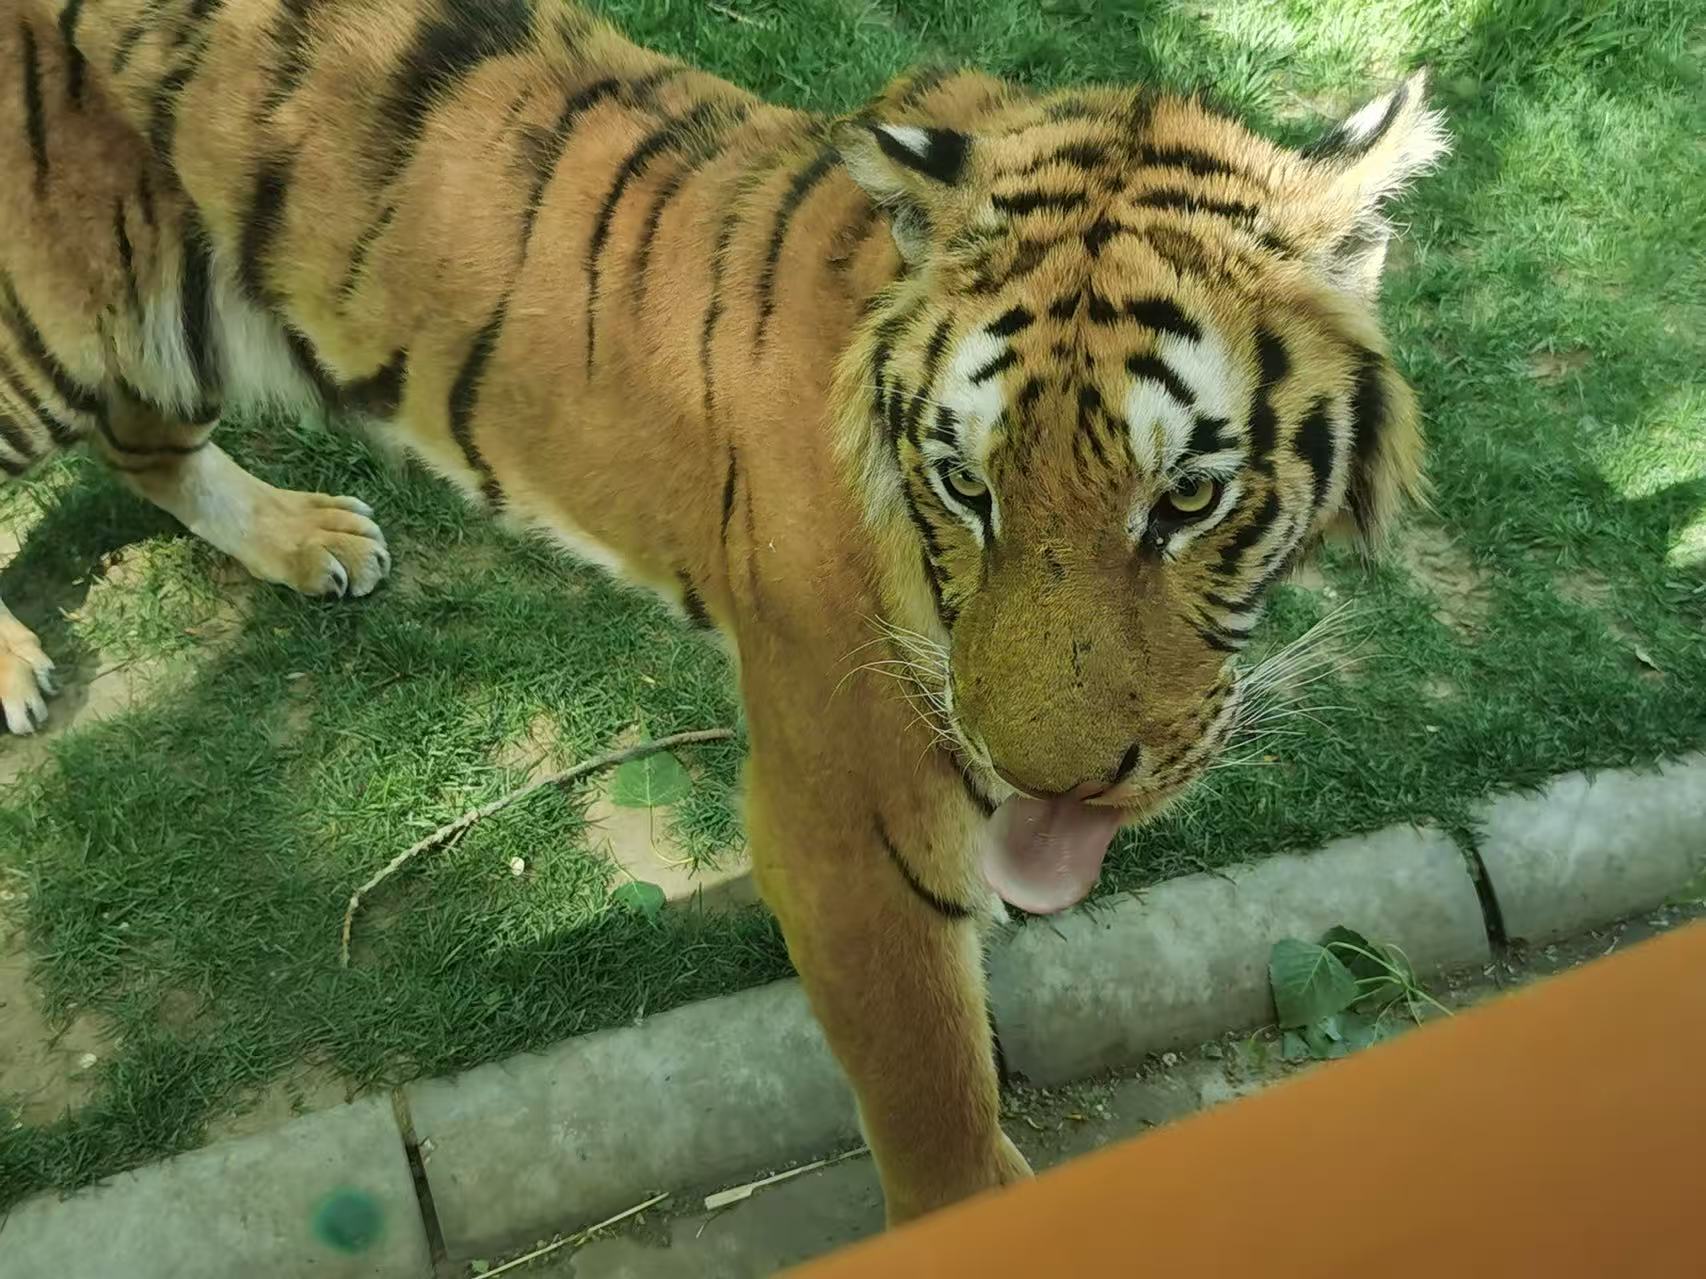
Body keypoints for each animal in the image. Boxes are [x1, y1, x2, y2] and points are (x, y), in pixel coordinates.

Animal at [0, 0, 1443, 1223]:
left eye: (1187, 497)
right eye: (966, 484)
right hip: (46, 341)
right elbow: (938, 1117)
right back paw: (21, 665)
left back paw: (311, 539)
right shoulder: (847, 829)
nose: (1050, 783)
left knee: (144, 446)